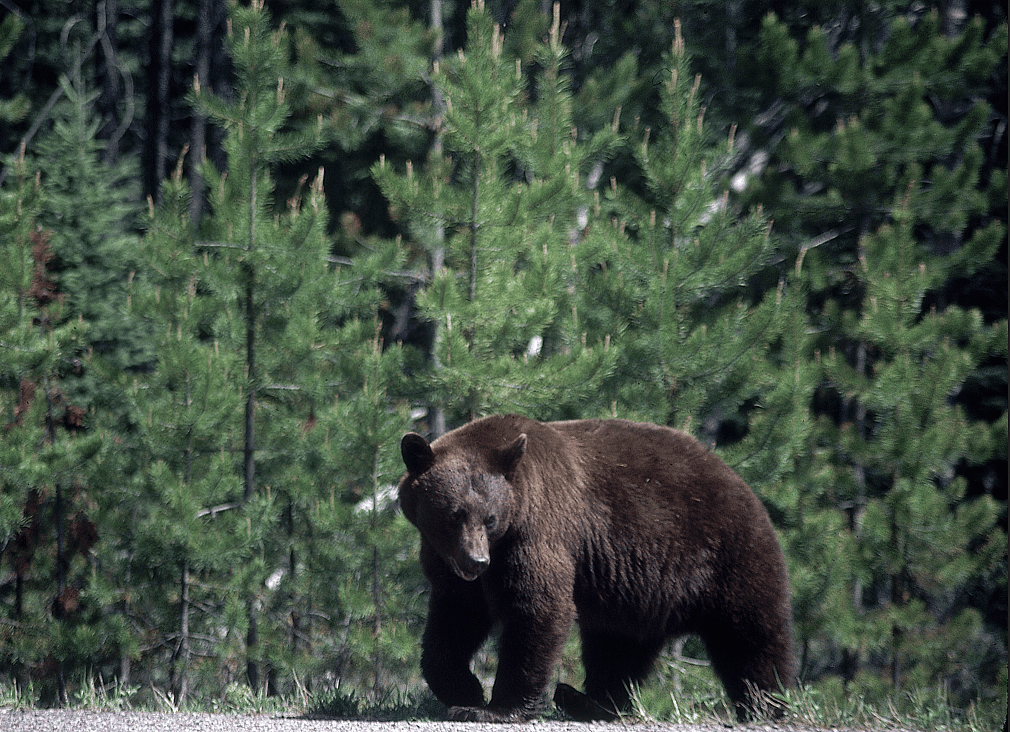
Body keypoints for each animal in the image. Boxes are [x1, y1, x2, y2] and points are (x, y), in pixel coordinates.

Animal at [397, 414, 794, 722]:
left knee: (750, 636)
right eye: (454, 515)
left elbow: (537, 607)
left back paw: (766, 705)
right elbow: (454, 619)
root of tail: (742, 483)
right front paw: (465, 689)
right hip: (638, 591)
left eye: (490, 518)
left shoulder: (539, 533)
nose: (476, 561)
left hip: (729, 555)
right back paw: (584, 700)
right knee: (617, 648)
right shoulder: (450, 567)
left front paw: (493, 707)